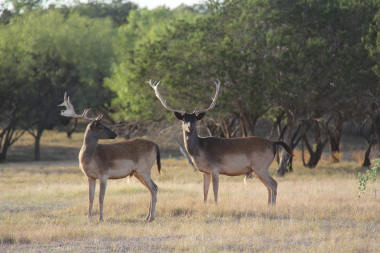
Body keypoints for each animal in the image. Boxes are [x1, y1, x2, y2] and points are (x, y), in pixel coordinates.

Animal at [58, 93, 160, 221]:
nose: (115, 134)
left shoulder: (104, 175)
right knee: (151, 189)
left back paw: (151, 218)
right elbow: (90, 197)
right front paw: (89, 218)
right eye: (100, 126)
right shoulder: (90, 177)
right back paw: (147, 217)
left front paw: (101, 218)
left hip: (144, 169)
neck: (90, 158)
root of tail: (155, 145)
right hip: (137, 172)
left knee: (154, 188)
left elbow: (101, 198)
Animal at [148, 80, 290, 205]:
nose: (190, 127)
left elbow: (215, 191)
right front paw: (205, 204)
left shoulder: (215, 168)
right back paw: (268, 205)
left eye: (195, 119)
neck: (199, 151)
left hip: (261, 166)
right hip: (258, 169)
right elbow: (204, 192)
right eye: (184, 119)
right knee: (269, 186)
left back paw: (273, 206)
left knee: (274, 184)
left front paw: (216, 205)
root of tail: (273, 143)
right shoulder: (205, 171)